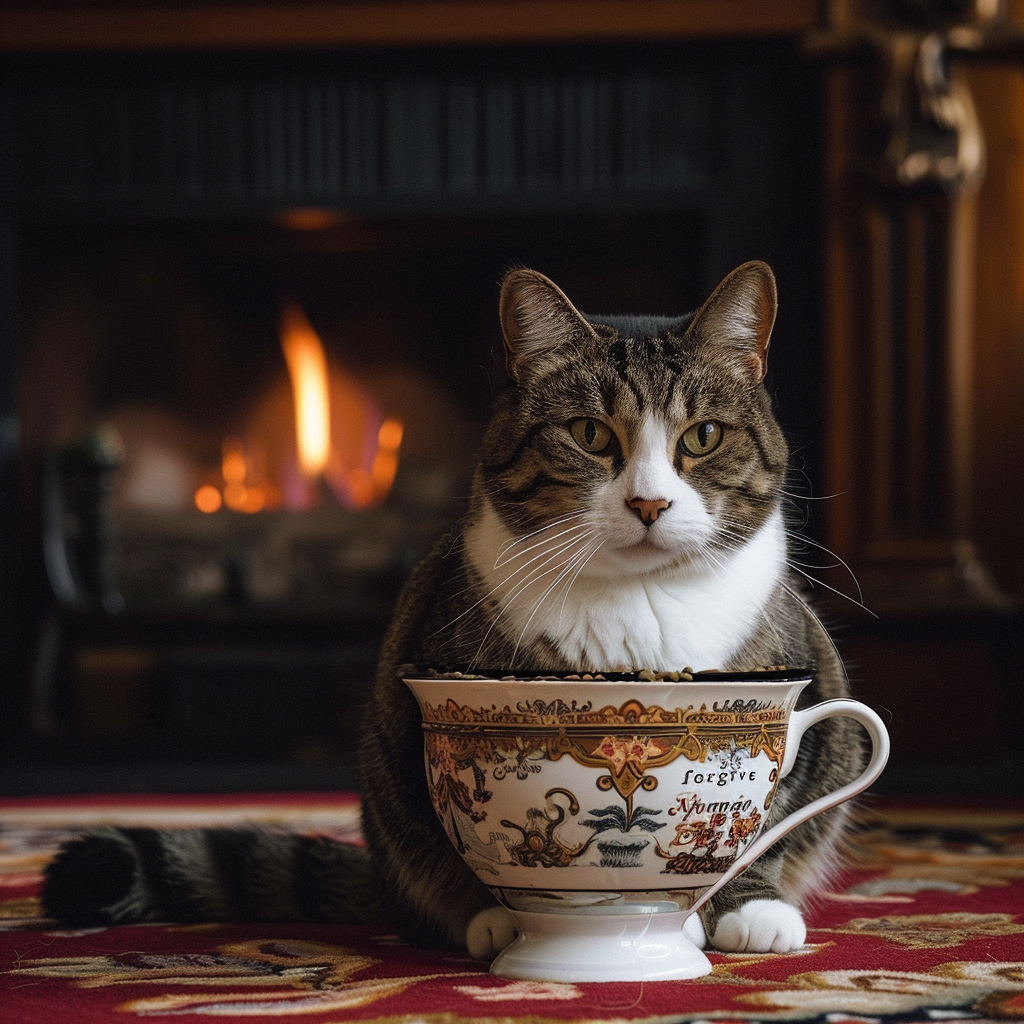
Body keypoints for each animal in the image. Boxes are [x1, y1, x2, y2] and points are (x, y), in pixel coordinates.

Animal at [44, 262, 868, 958]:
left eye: (702, 437)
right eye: (590, 434)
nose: (649, 503)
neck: (640, 605)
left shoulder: (804, 687)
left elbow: (772, 819)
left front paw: (742, 907)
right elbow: (453, 831)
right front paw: (519, 913)